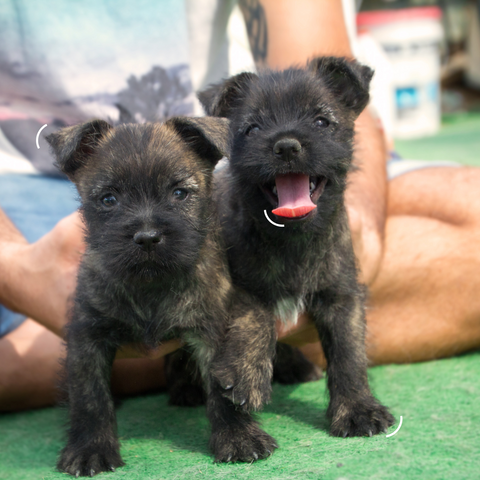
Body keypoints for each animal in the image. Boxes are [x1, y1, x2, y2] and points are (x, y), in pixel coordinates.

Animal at [47, 117, 278, 476]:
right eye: (109, 199)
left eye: (179, 193)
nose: (147, 237)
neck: (150, 286)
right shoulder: (88, 337)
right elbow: (90, 397)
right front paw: (90, 449)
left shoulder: (209, 330)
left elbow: (221, 390)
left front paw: (238, 437)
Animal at [199, 56, 394, 438]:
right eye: (252, 128)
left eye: (321, 121)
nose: (287, 146)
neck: (292, 238)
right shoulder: (240, 287)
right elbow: (256, 320)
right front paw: (247, 377)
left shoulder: (341, 294)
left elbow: (349, 351)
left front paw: (358, 409)